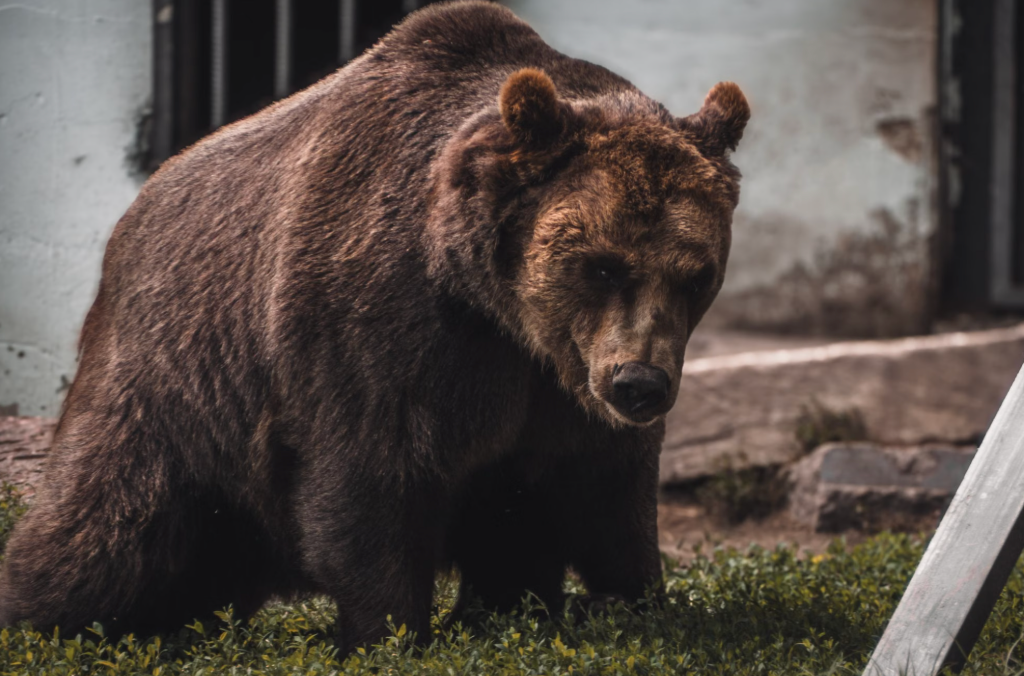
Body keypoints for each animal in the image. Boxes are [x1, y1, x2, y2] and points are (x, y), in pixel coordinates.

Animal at [0, 0, 749, 655]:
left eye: (695, 275)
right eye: (601, 265)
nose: (640, 385)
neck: (496, 307)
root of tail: (136, 209)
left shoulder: (558, 387)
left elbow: (605, 492)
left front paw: (635, 601)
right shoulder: (380, 327)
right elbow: (372, 478)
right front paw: (388, 633)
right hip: (174, 383)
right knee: (103, 535)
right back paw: (44, 617)